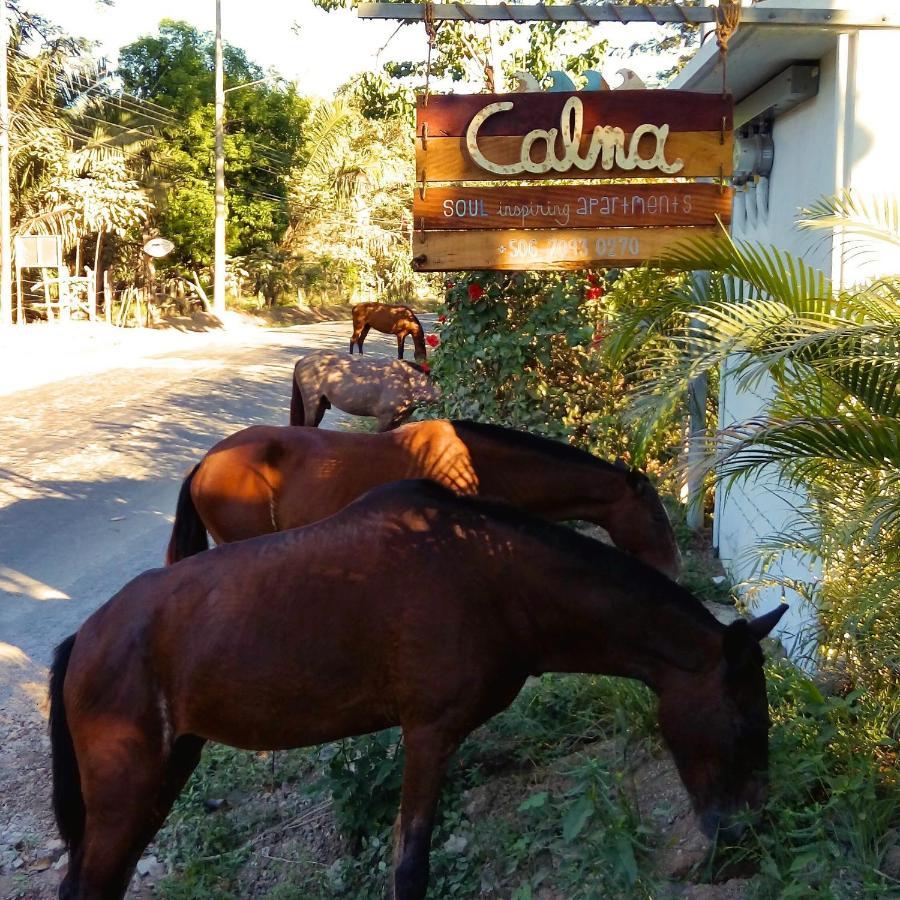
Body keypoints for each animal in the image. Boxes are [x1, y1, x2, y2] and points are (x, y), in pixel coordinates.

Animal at [51, 482, 788, 900]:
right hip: (126, 792)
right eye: (747, 726)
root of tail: (87, 637)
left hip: (163, 776)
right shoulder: (429, 735)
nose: (745, 843)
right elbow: (410, 869)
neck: (493, 579)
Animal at [290, 352, 442, 432]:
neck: (407, 381)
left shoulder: (397, 421)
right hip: (312, 405)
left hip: (321, 405)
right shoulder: (384, 419)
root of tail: (303, 360)